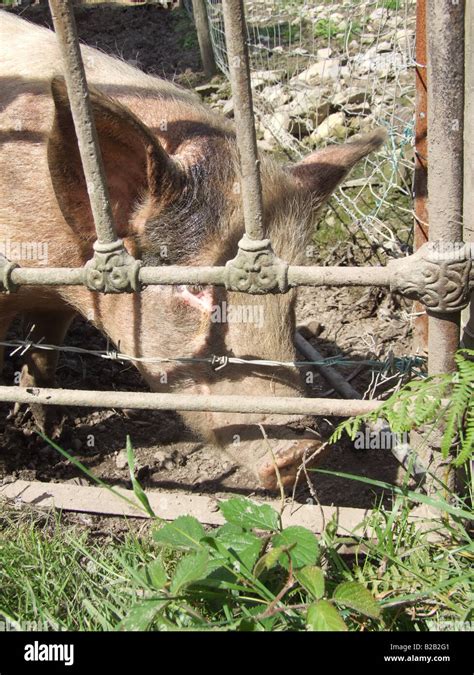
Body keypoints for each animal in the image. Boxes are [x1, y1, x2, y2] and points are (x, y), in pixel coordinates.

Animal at [0, 11, 386, 492]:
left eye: (291, 295)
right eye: (191, 289)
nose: (302, 452)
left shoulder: (57, 300)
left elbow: (44, 357)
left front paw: (51, 431)